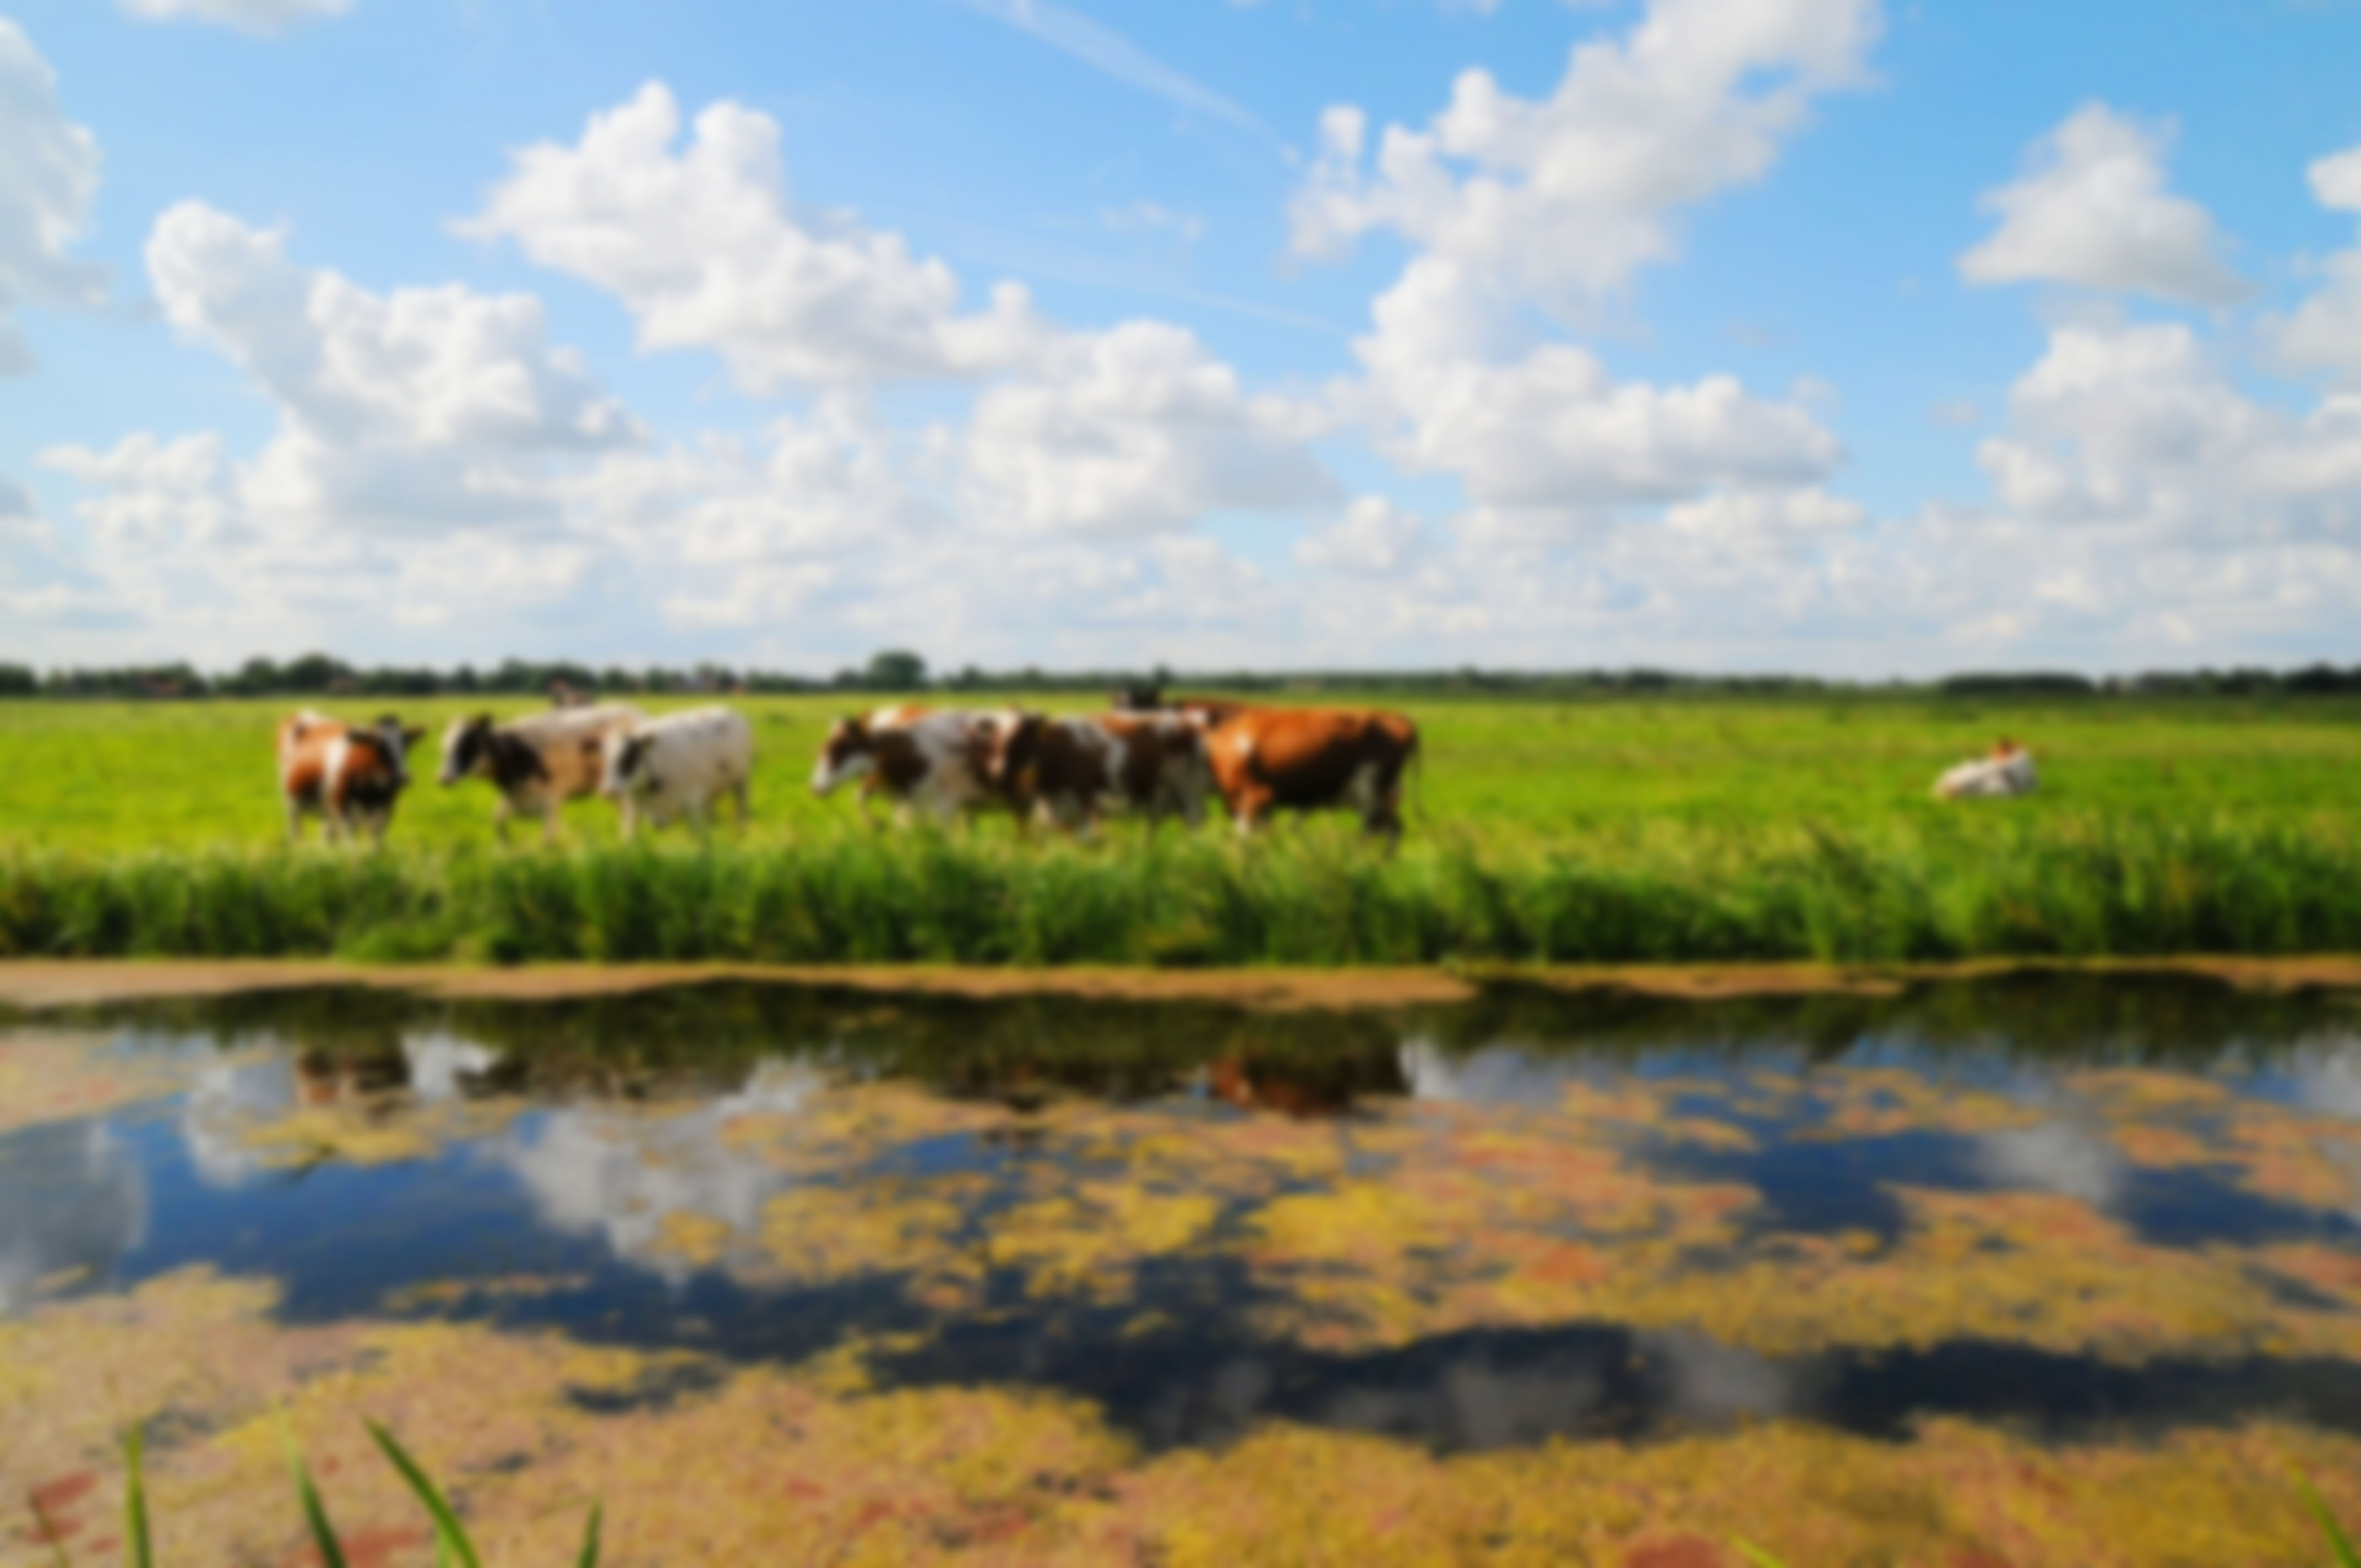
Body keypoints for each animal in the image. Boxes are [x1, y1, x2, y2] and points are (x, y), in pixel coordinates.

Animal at [275, 708, 425, 845]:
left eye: (406, 744)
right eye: (378, 745)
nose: (402, 777)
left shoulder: (385, 808)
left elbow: (377, 840)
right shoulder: (343, 808)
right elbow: (351, 842)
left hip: (325, 805)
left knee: (327, 833)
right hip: (292, 801)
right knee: (296, 830)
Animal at [437, 699, 642, 840]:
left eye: (467, 744)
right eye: (445, 746)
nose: (442, 778)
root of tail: (636, 712)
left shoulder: (551, 802)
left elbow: (548, 842)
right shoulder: (514, 799)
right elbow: (498, 824)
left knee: (631, 814)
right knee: (625, 813)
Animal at [604, 708, 750, 840]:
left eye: (629, 757)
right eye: (606, 758)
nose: (608, 791)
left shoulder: (692, 800)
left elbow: (699, 836)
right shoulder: (634, 809)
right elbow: (630, 837)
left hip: (741, 779)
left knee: (741, 806)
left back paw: (741, 830)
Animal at [982, 708, 1209, 831]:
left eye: (1020, 739)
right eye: (995, 739)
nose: (997, 773)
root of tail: (1187, 724)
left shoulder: (1085, 801)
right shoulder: (1059, 813)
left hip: (1188, 788)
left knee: (1194, 821)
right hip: (1162, 794)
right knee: (1156, 822)